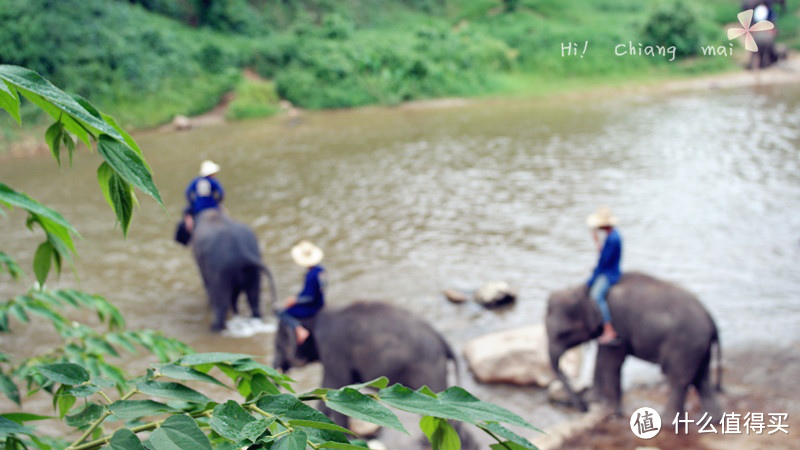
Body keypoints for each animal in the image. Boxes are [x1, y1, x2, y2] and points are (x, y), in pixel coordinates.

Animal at [276, 300, 476, 448]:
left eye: (281, 340)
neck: (318, 314)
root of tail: (442, 339)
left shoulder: (334, 350)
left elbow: (334, 385)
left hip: (428, 368)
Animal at [548, 270, 720, 422]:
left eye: (563, 333)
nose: (584, 408)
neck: (585, 292)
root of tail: (710, 318)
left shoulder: (616, 325)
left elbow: (610, 362)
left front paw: (609, 411)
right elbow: (601, 357)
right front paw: (595, 400)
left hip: (685, 345)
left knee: (679, 379)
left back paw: (668, 423)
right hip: (698, 346)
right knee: (701, 377)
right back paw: (709, 420)